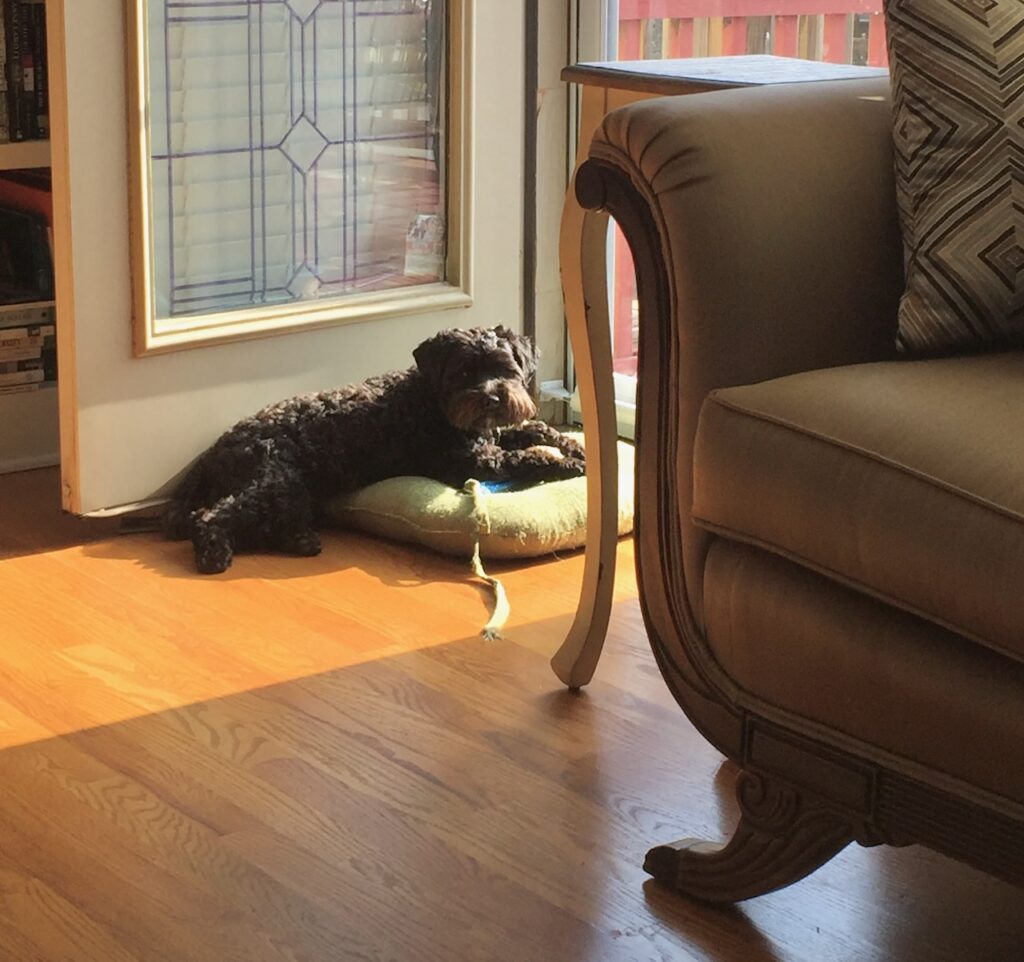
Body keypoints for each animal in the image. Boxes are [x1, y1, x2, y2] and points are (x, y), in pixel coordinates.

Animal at [166, 327, 585, 573]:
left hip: (292, 489)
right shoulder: (476, 463)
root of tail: (214, 452)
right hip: (274, 482)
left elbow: (538, 428)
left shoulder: (497, 434)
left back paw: (301, 540)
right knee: (209, 514)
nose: (493, 398)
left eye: (505, 368)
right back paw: (214, 554)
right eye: (464, 372)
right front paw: (568, 464)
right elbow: (531, 456)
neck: (431, 398)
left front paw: (575, 449)